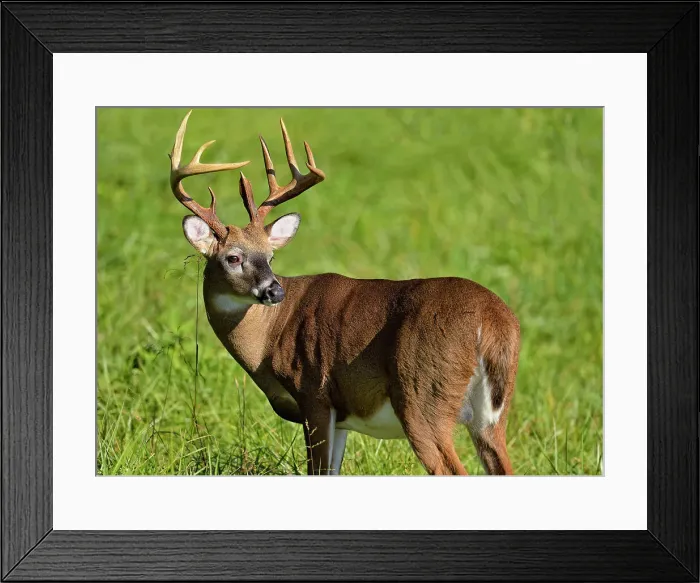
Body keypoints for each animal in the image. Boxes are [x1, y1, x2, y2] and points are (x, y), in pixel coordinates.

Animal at [169, 111, 520, 476]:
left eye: (270, 256)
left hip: (423, 398)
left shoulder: (314, 393)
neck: (268, 338)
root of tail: (491, 320)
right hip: (491, 415)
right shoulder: (339, 417)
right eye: (233, 257)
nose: (274, 290)